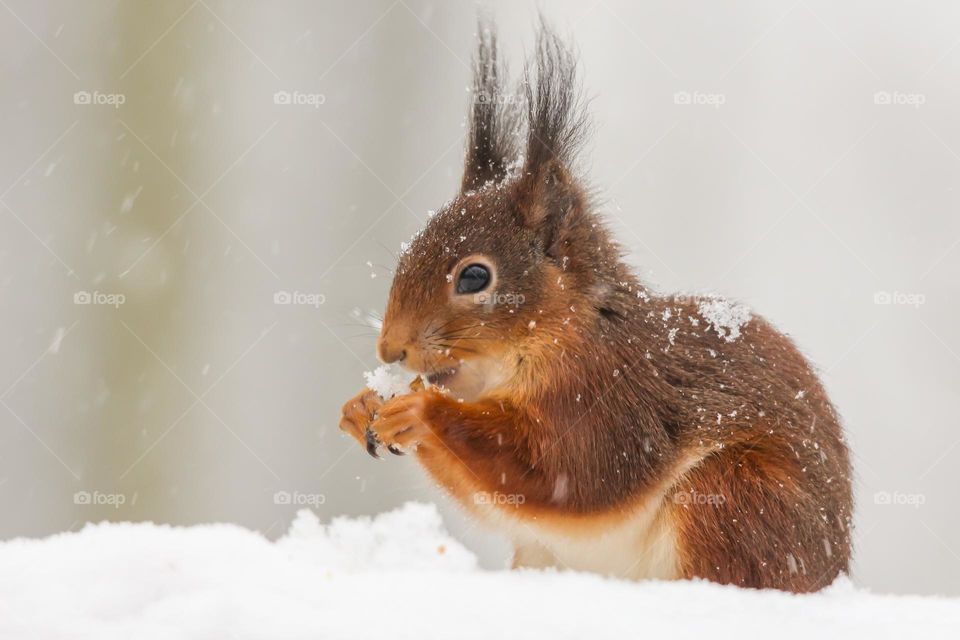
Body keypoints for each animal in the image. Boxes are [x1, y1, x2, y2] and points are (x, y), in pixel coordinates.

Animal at [339, 21, 852, 593]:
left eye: (474, 276)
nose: (390, 349)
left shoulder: (610, 396)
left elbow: (566, 472)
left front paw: (422, 410)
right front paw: (362, 405)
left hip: (738, 494)